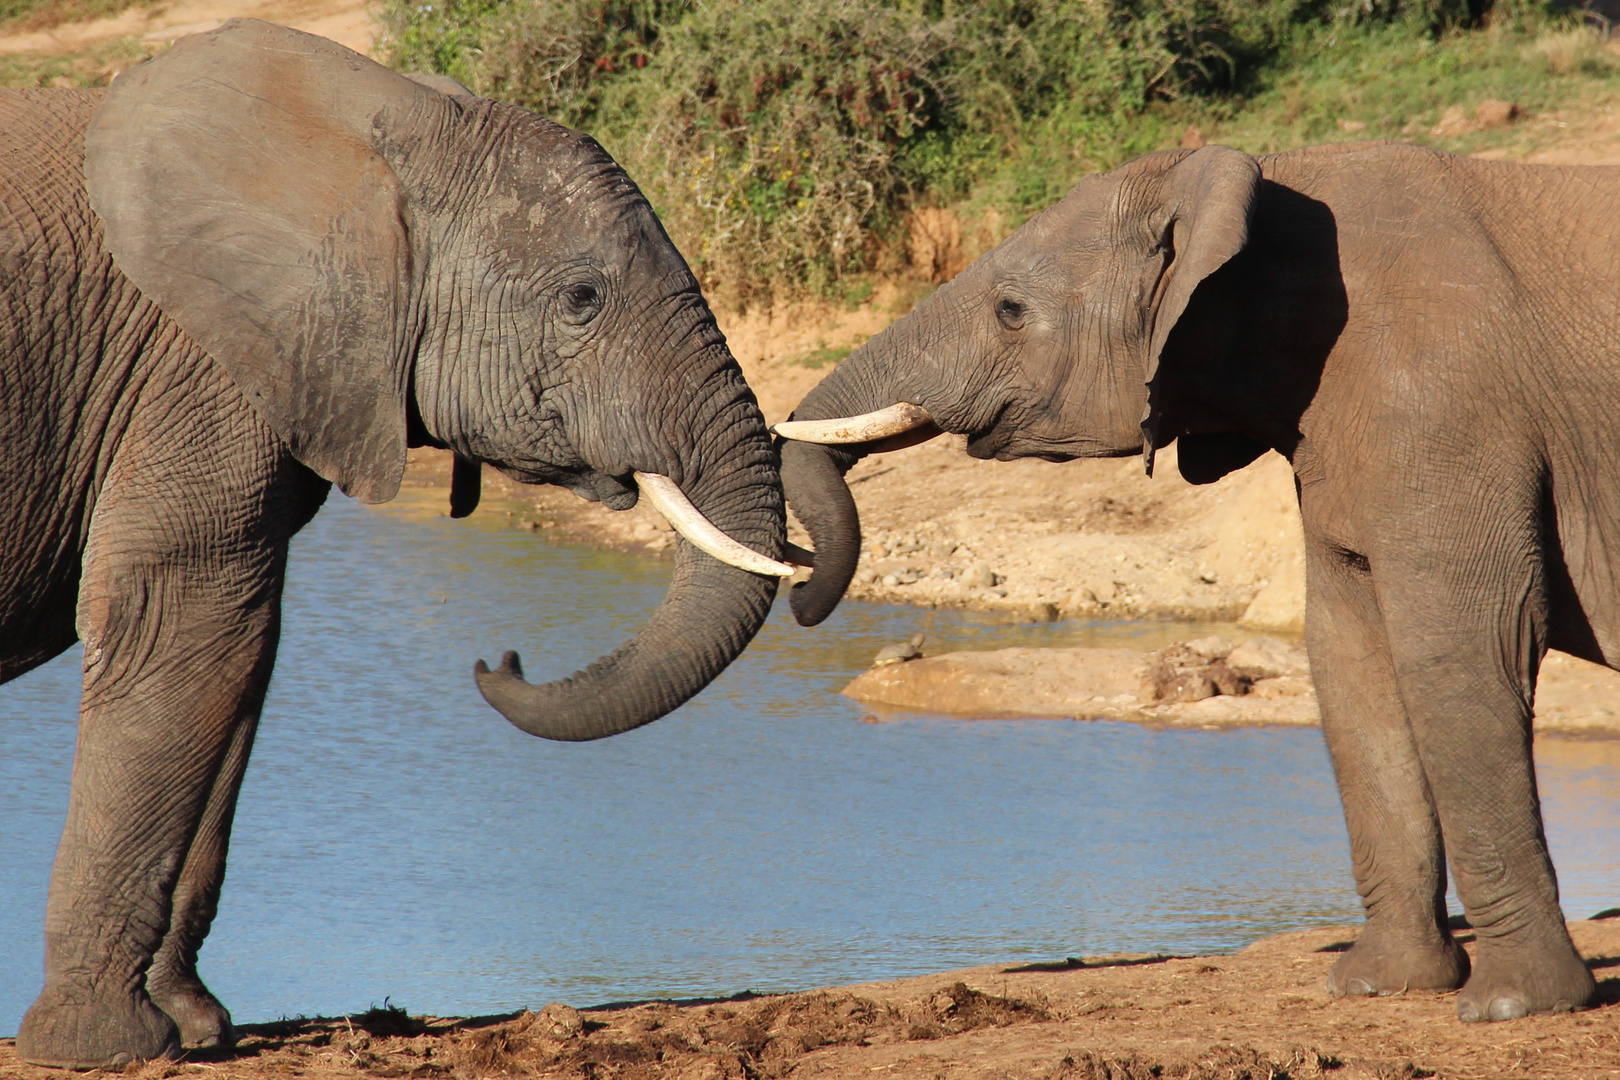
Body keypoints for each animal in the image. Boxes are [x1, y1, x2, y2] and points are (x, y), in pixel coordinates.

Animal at [0, 16, 793, 1075]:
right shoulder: (195, 365)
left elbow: (236, 656)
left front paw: (198, 1031)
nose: (500, 659)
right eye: (583, 298)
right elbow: (180, 625)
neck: (374, 128)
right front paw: (104, 1047)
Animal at [777, 141, 1613, 1023]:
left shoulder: (1445, 409)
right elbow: (1348, 658)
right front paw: (1377, 985)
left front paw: (1513, 1006)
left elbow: (1463, 648)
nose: (798, 587)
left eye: (1010, 310)